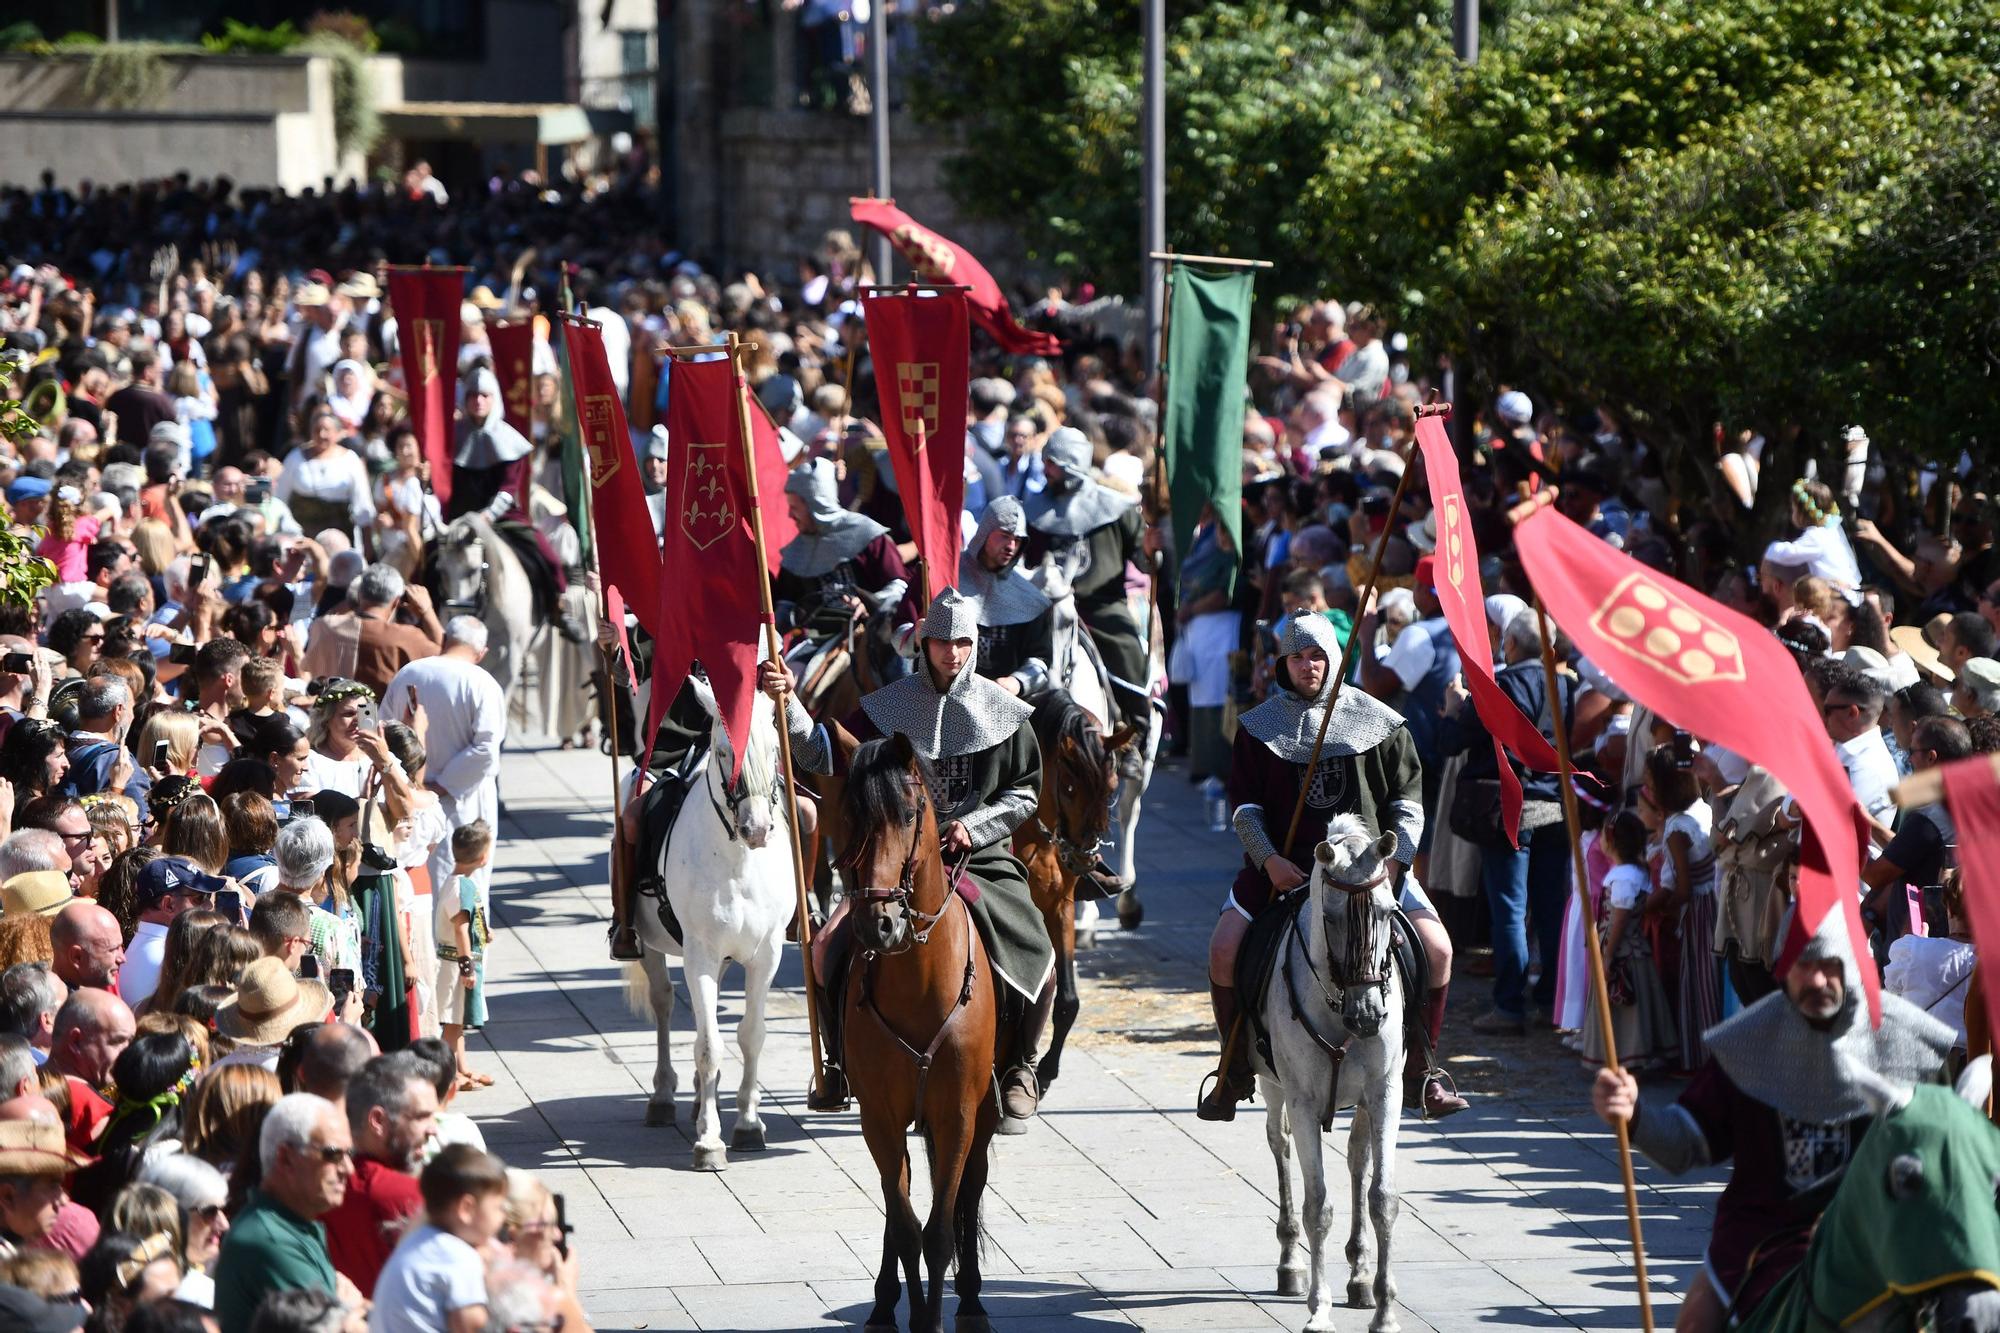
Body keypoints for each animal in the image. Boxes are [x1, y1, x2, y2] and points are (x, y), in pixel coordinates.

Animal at [620, 680, 792, 1168]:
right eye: (722, 751)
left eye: (775, 749)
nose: (758, 829)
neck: (738, 861)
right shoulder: (699, 952)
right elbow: (709, 1044)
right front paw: (710, 1140)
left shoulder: (766, 955)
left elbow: (750, 1034)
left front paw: (748, 1124)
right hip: (653, 946)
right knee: (664, 1004)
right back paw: (664, 1097)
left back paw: (701, 1097)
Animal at [840, 732, 1008, 1328]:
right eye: (851, 813)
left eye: (910, 813)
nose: (879, 924)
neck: (920, 982)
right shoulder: (879, 1117)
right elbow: (906, 1223)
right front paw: (910, 1311)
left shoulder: (956, 1113)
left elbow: (938, 1233)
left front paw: (935, 1316)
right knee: (902, 1204)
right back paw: (885, 1303)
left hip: (980, 1116)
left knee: (967, 1192)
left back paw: (974, 1301)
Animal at [1008, 688, 1136, 1096]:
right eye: (1068, 786)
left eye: (1111, 789)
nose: (1083, 857)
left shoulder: (1057, 907)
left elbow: (1066, 1000)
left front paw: (1045, 1070)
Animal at [1264, 808, 1408, 1328]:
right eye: (1331, 917)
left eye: (1389, 911)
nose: (1367, 1017)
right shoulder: (1303, 1100)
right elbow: (1317, 1206)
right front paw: (1319, 1311)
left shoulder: (1386, 1093)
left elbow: (1382, 1198)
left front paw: (1385, 1310)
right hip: (1271, 1087)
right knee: (1280, 1143)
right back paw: (1290, 1263)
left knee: (1357, 1158)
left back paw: (1361, 1276)